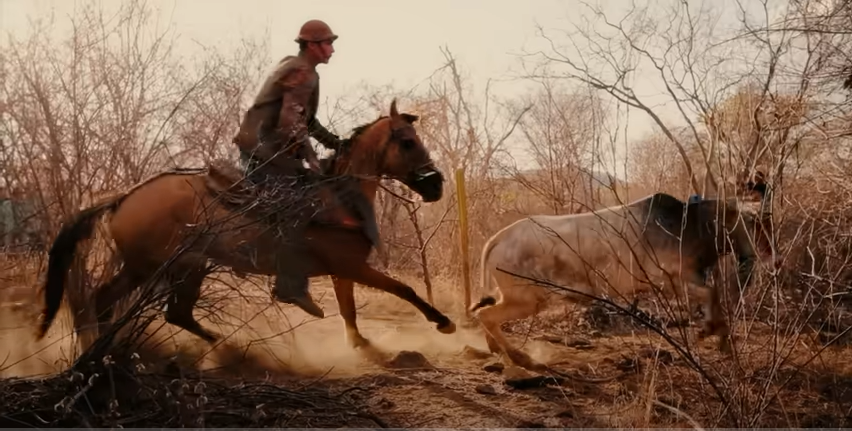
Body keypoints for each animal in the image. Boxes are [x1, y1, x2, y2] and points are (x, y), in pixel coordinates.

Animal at [38, 100, 460, 352]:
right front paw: (442, 322)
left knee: (128, 305)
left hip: (158, 267)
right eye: (407, 142)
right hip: (172, 266)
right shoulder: (352, 267)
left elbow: (350, 312)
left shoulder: (344, 273)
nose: (436, 184)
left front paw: (361, 346)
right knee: (157, 310)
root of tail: (124, 197)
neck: (339, 197)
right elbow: (404, 289)